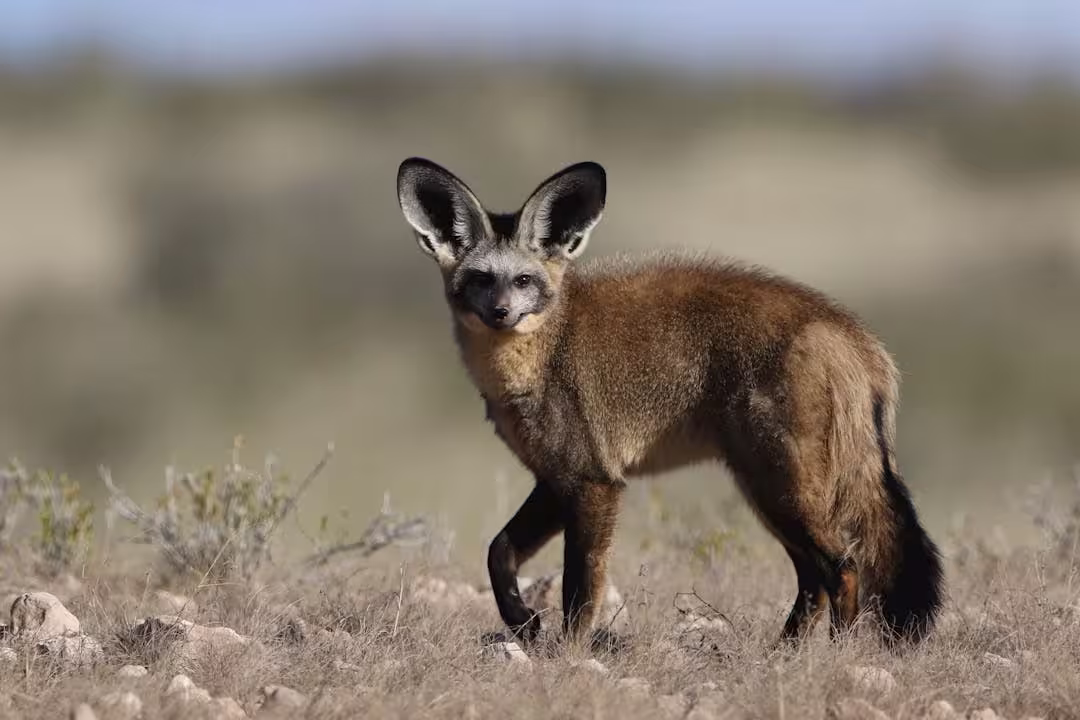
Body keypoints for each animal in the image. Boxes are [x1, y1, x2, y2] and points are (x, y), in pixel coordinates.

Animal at [394, 156, 944, 650]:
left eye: (524, 281)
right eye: (482, 279)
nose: (502, 313)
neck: (545, 355)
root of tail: (853, 334)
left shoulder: (595, 483)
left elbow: (580, 593)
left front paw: (567, 657)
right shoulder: (557, 479)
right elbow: (498, 553)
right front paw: (523, 622)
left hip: (782, 490)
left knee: (843, 569)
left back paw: (834, 657)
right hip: (768, 492)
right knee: (814, 580)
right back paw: (782, 657)